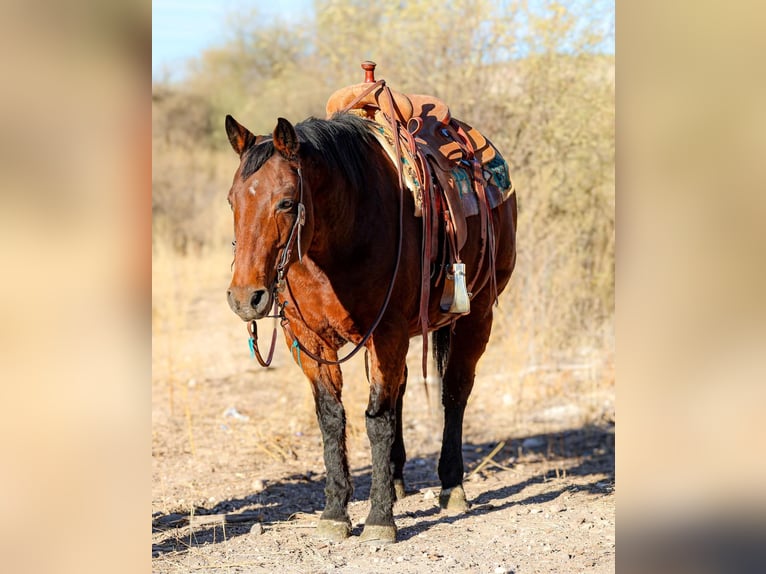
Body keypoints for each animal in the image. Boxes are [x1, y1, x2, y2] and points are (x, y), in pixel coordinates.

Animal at [224, 109, 517, 543]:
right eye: (232, 200)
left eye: (287, 202)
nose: (246, 298)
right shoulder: (311, 341)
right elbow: (332, 418)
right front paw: (335, 511)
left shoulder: (387, 332)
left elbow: (377, 419)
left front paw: (379, 518)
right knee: (402, 390)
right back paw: (394, 479)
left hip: (477, 315)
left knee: (454, 393)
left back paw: (451, 486)